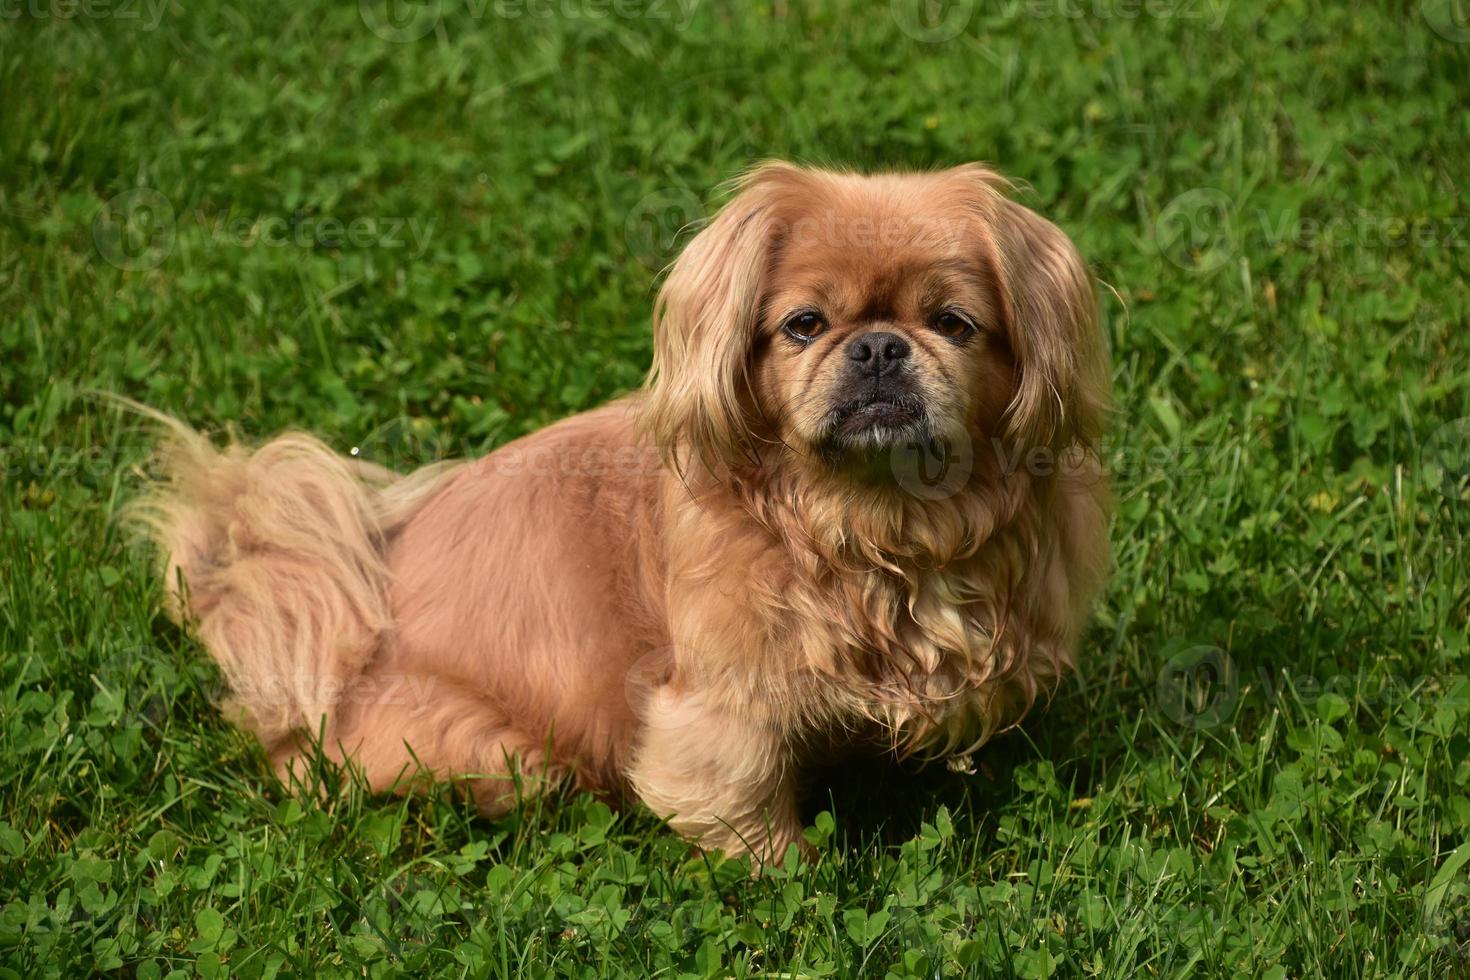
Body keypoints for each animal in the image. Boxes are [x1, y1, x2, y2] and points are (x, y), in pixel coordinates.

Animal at [135, 163, 1105, 863]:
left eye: (953, 323)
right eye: (802, 325)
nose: (875, 347)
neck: (869, 524)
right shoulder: (720, 706)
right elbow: (742, 805)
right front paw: (796, 880)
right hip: (503, 759)